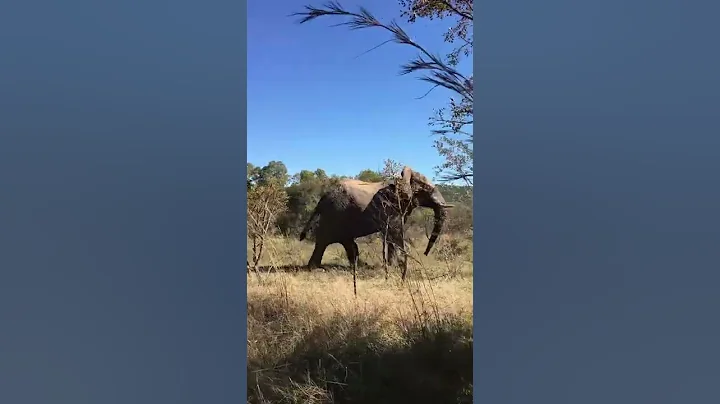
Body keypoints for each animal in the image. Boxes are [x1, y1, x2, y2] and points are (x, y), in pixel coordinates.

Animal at [298, 166, 454, 283]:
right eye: (426, 188)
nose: (425, 254)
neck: (403, 179)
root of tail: (323, 198)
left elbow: (392, 236)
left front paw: (391, 266)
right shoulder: (390, 206)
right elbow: (394, 232)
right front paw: (397, 264)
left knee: (347, 242)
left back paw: (359, 266)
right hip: (335, 213)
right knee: (325, 240)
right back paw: (316, 268)